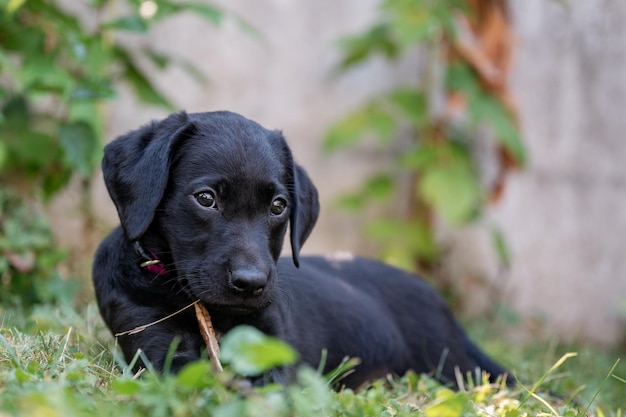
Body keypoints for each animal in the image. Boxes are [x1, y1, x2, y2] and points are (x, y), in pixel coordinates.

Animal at [94, 109, 512, 386]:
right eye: (206, 199)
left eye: (278, 206)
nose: (251, 283)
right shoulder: (157, 346)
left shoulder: (271, 346)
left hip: (451, 363)